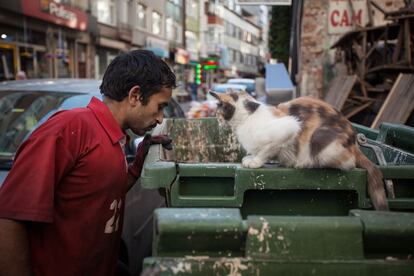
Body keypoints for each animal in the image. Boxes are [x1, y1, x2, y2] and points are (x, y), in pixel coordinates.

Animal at [210, 89, 388, 210]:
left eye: (217, 111)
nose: (216, 119)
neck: (248, 117)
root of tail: (355, 143)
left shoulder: (289, 127)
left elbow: (267, 151)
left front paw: (255, 161)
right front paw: (251, 157)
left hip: (320, 141)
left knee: (348, 164)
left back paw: (306, 164)